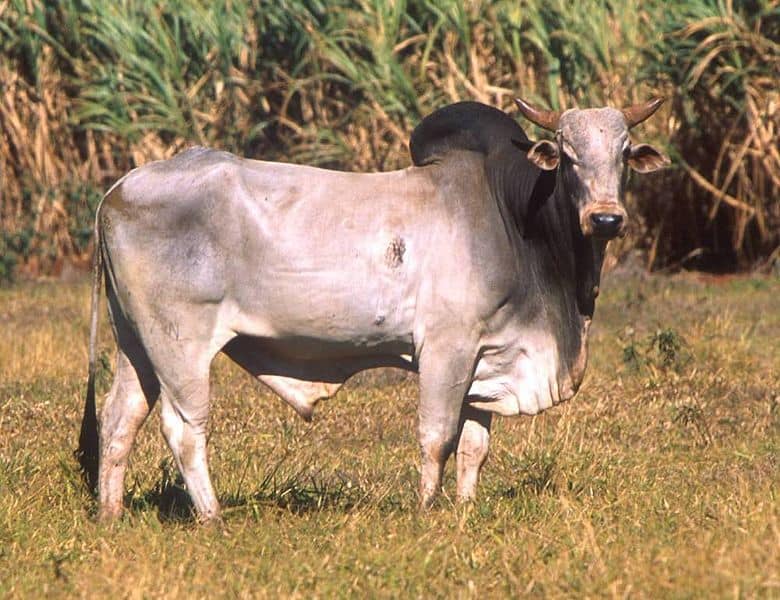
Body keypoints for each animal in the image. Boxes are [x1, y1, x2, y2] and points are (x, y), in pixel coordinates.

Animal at [77, 97, 664, 520]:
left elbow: (474, 447)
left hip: (136, 343)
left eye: (623, 154)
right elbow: (437, 438)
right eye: (567, 155)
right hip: (180, 344)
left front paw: (465, 511)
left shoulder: (487, 357)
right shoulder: (446, 349)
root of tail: (120, 187)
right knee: (185, 428)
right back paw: (213, 516)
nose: (606, 218)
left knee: (119, 419)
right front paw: (426, 512)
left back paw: (111, 515)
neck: (513, 217)